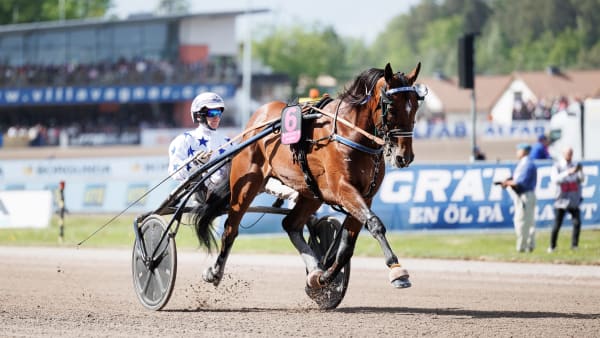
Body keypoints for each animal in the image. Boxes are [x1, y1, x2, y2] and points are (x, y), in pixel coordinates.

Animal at [197, 62, 422, 290]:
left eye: (415, 106)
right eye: (391, 107)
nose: (404, 156)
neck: (348, 133)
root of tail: (257, 117)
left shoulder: (365, 196)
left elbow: (347, 246)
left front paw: (326, 277)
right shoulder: (343, 189)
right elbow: (375, 224)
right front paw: (397, 270)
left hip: (310, 193)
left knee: (291, 225)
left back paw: (315, 269)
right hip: (247, 182)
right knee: (231, 227)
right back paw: (215, 272)